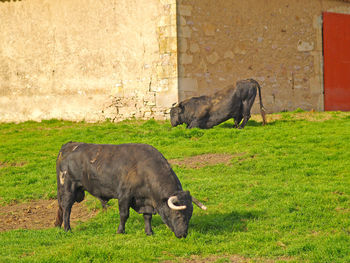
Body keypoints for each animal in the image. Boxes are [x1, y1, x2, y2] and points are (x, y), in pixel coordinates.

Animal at [54, 142, 206, 239]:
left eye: (190, 215)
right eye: (178, 215)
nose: (183, 235)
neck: (143, 169)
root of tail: (70, 145)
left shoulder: (145, 201)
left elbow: (147, 216)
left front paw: (149, 232)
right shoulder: (124, 196)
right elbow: (124, 215)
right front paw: (120, 231)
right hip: (67, 188)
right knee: (67, 208)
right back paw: (67, 229)